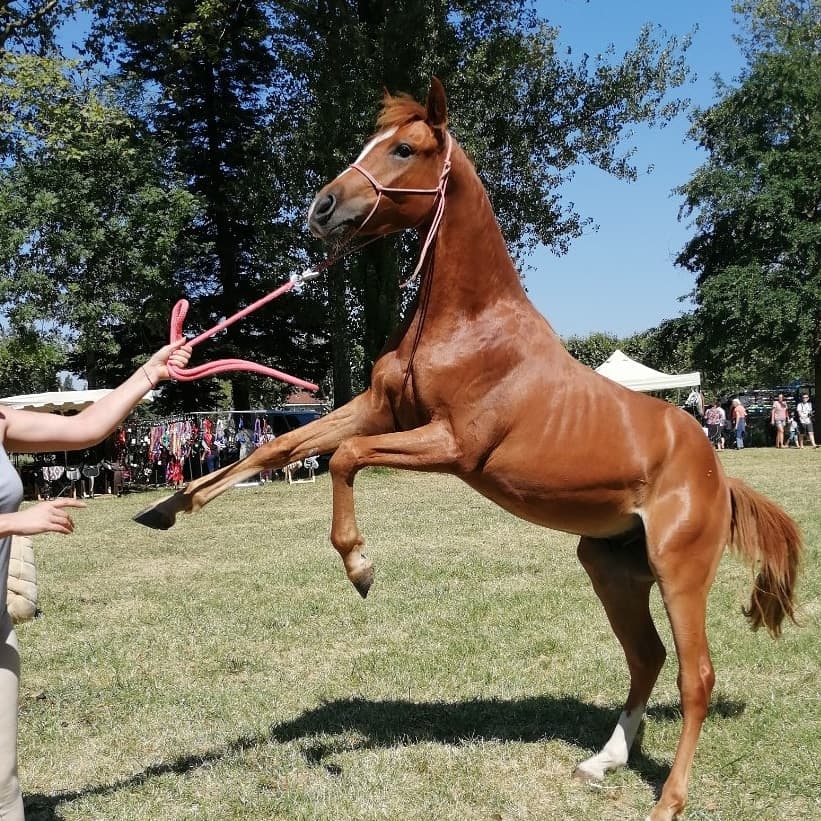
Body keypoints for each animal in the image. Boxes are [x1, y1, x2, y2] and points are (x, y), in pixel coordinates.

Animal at [135, 78, 803, 821]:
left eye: (404, 147)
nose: (322, 207)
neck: (467, 327)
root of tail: (716, 470)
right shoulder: (380, 409)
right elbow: (279, 448)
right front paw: (168, 505)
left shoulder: (450, 446)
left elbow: (342, 458)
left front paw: (360, 566)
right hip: (612, 567)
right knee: (646, 658)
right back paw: (602, 761)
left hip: (678, 570)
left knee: (696, 675)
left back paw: (668, 800)